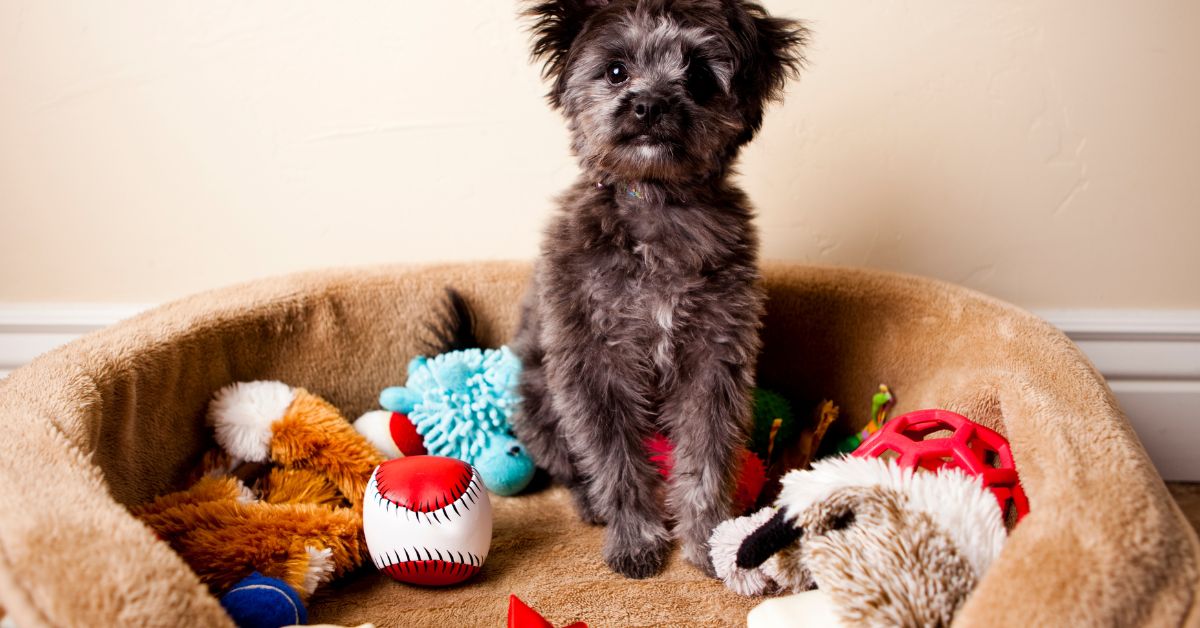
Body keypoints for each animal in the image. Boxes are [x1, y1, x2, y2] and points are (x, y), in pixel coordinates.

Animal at [508, 0, 801, 581]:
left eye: (700, 77)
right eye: (616, 70)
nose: (647, 105)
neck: (657, 207)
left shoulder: (713, 362)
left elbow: (707, 458)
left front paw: (709, 540)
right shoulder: (596, 367)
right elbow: (616, 462)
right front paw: (636, 537)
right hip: (537, 402)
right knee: (572, 467)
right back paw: (591, 505)